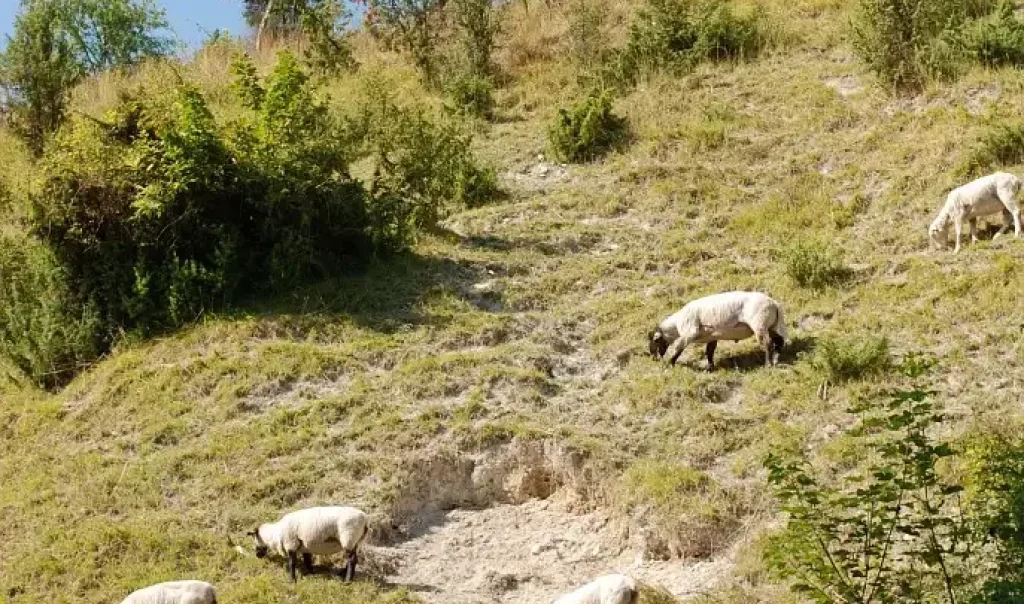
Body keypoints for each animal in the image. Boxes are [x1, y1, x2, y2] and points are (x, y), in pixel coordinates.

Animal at [648, 291, 787, 371]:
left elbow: (678, 348)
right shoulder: (712, 337)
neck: (676, 324)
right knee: (779, 341)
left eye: (655, 341)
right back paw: (776, 359)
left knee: (768, 344)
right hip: (773, 325)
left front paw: (670, 363)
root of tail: (774, 303)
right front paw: (709, 368)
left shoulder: (689, 333)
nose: (653, 358)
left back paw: (768, 364)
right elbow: (709, 352)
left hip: (759, 324)